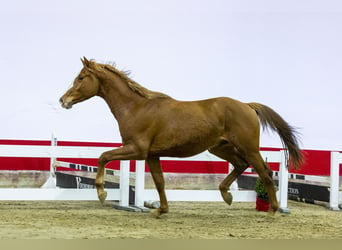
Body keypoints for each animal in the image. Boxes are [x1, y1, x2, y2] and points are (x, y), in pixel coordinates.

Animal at [59, 57, 302, 217]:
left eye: (81, 77)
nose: (63, 100)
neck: (136, 108)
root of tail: (248, 106)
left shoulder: (137, 150)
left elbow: (103, 156)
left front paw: (101, 193)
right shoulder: (151, 155)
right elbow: (159, 182)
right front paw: (160, 210)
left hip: (248, 148)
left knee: (266, 173)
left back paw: (271, 211)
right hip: (220, 148)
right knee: (241, 165)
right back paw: (227, 196)